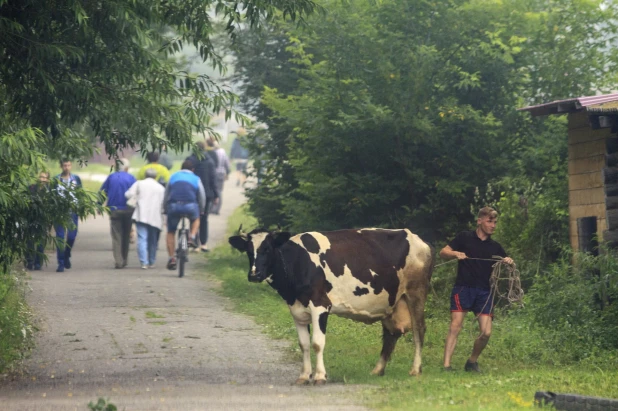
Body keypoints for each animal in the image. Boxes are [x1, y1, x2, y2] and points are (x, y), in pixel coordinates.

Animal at [227, 227, 434, 384]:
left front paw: (319, 376)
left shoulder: (320, 305)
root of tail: (418, 239)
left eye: (268, 249)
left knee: (419, 329)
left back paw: (415, 370)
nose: (254, 274)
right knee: (391, 334)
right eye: (248, 250)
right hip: (391, 303)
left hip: (416, 291)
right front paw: (304, 376)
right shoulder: (296, 311)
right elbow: (303, 344)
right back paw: (377, 370)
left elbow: (317, 343)